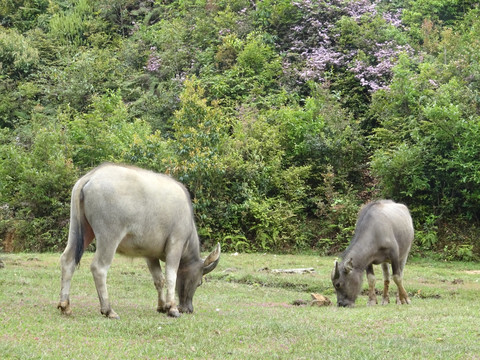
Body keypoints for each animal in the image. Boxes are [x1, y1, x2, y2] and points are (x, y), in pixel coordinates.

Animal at [58, 163, 221, 318]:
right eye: (199, 283)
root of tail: (91, 176)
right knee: (99, 267)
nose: (188, 309)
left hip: (79, 229)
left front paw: (162, 306)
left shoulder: (150, 255)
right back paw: (108, 310)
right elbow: (171, 276)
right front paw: (172, 308)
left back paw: (65, 306)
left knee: (68, 259)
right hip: (109, 237)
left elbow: (159, 279)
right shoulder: (176, 244)